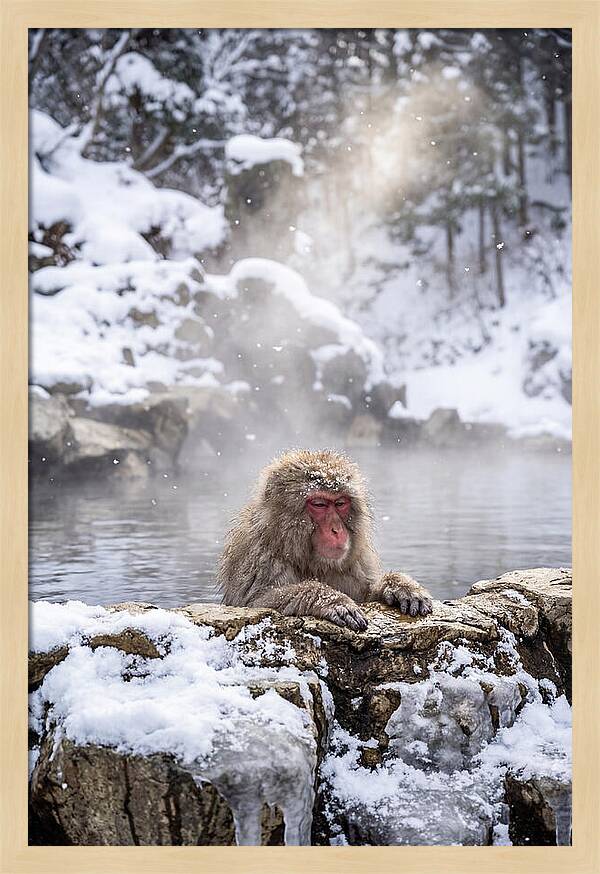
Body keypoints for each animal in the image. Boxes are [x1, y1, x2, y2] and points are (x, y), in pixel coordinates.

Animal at [218, 448, 433, 631]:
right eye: (319, 504)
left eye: (340, 503)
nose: (336, 530)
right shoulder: (258, 555)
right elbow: (256, 602)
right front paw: (332, 600)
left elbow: (366, 594)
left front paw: (399, 586)